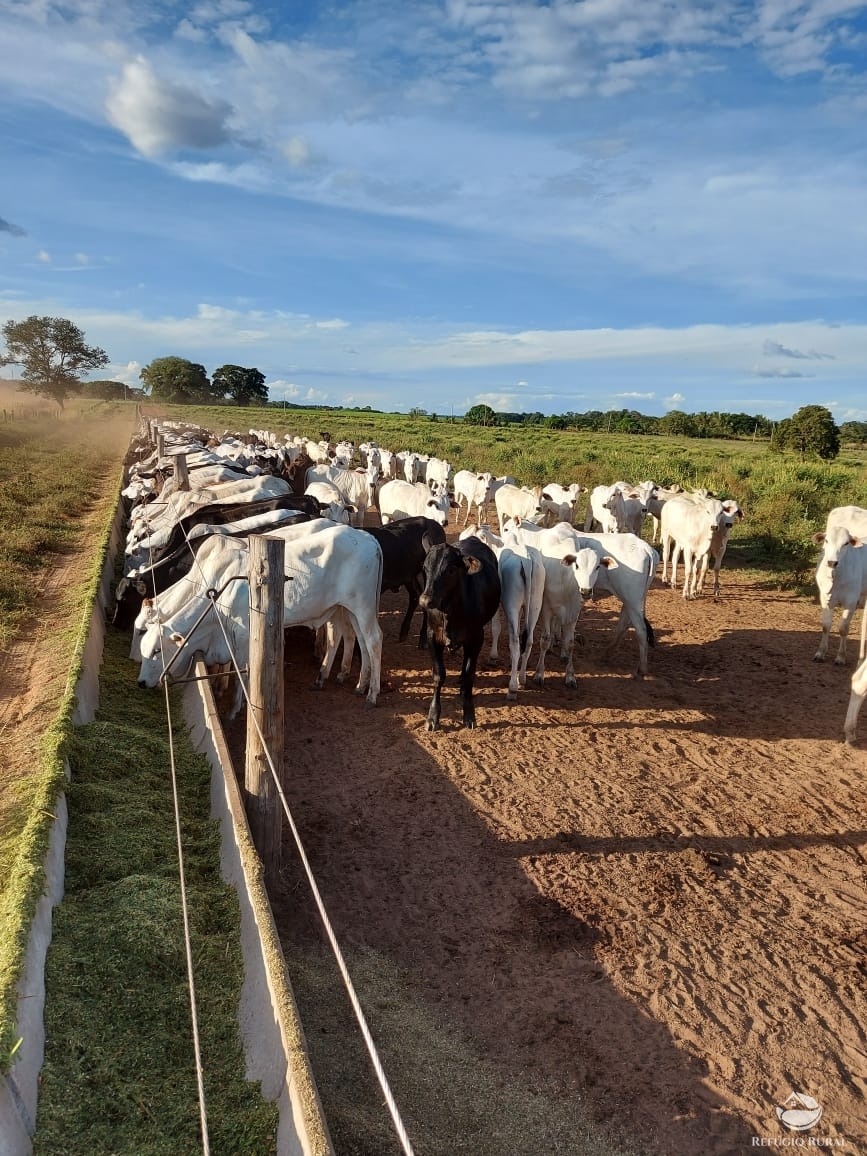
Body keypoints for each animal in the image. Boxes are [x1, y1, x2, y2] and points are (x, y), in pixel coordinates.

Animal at [420, 534, 501, 730]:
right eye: (425, 568)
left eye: (449, 570)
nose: (425, 601)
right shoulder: (433, 636)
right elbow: (438, 675)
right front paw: (433, 717)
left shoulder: (477, 637)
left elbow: (470, 674)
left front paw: (469, 715)